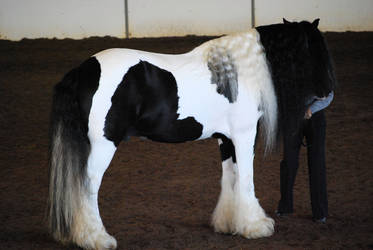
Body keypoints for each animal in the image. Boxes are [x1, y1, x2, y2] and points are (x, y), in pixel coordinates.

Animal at [46, 18, 334, 249]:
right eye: (316, 49)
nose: (327, 91)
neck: (239, 74)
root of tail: (83, 71)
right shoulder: (244, 135)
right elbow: (246, 179)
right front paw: (256, 226)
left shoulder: (226, 140)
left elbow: (230, 177)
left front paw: (228, 223)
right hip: (104, 146)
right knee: (88, 187)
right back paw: (96, 239)